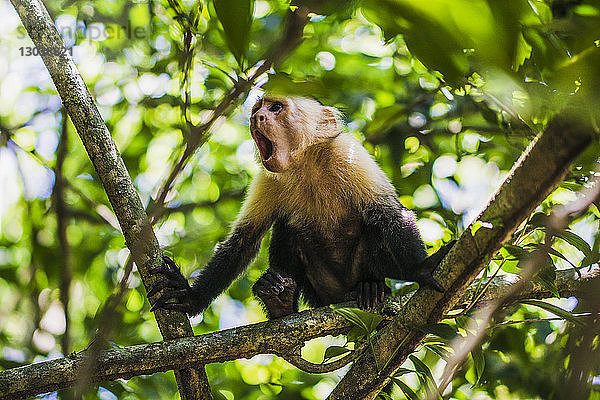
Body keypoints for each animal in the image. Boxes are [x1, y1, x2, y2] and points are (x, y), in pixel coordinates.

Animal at [150, 96, 454, 318]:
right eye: (257, 109)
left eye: (275, 108)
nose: (255, 117)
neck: (306, 163)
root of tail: (338, 295)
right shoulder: (268, 178)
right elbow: (243, 240)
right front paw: (192, 297)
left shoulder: (348, 154)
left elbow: (388, 214)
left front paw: (420, 270)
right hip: (316, 287)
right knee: (287, 227)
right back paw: (281, 303)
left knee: (373, 227)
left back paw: (371, 286)